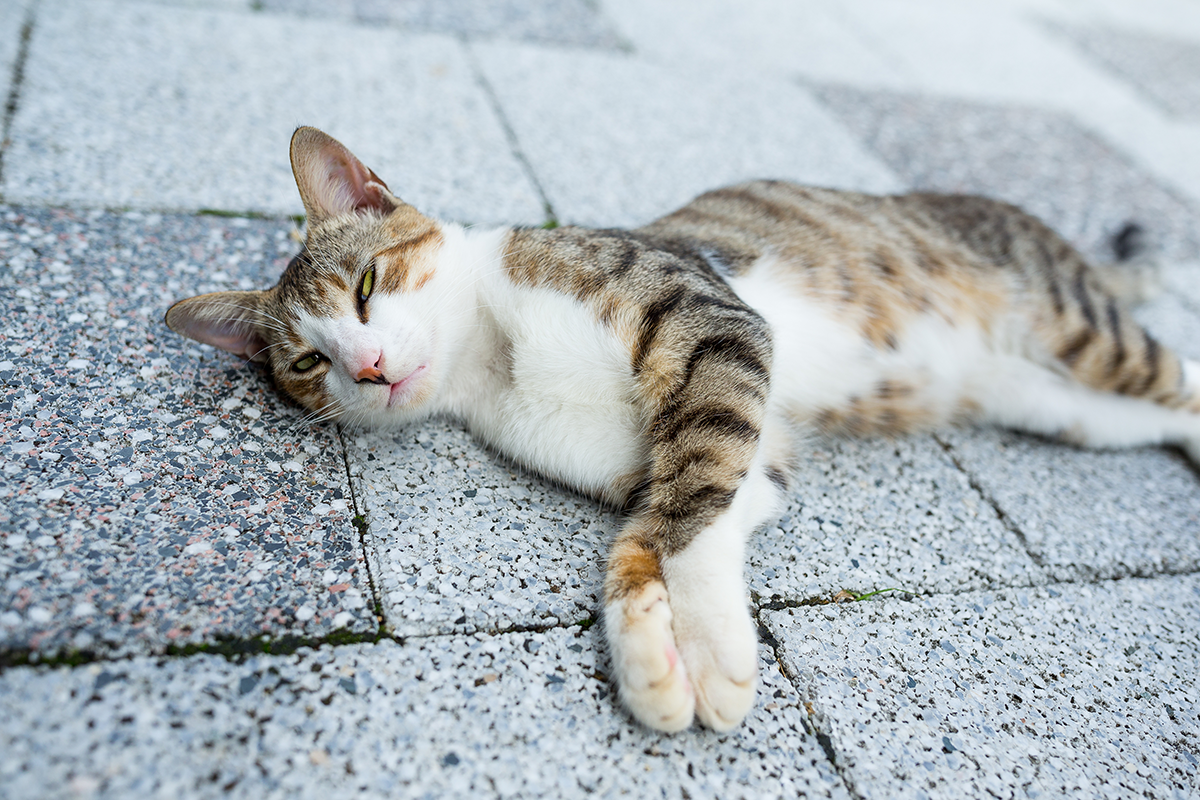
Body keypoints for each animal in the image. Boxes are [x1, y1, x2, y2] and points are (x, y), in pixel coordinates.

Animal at [162, 125, 1200, 734]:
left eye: (370, 286)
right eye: (308, 364)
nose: (369, 368)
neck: (494, 353)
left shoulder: (713, 322)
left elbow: (694, 500)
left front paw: (706, 655)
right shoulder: (731, 455)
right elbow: (662, 525)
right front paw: (658, 655)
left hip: (1075, 329)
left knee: (1179, 378)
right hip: (1060, 405)